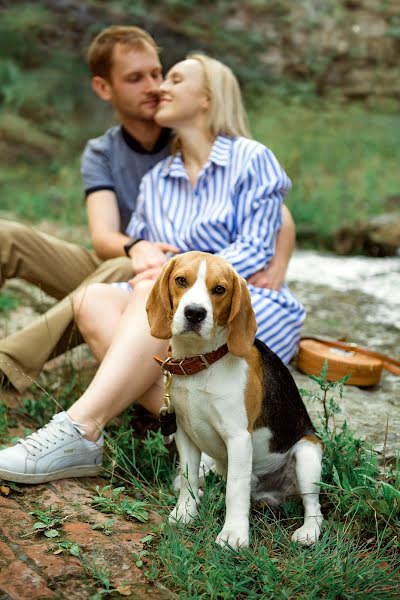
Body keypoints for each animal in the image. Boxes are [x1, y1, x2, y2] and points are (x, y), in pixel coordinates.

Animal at [146, 251, 322, 552]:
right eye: (181, 280)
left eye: (219, 289)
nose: (195, 313)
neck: (202, 362)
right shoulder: (184, 433)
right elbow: (187, 478)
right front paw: (185, 513)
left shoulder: (238, 437)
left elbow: (235, 491)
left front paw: (234, 535)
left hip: (307, 455)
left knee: (314, 506)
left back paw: (308, 531)